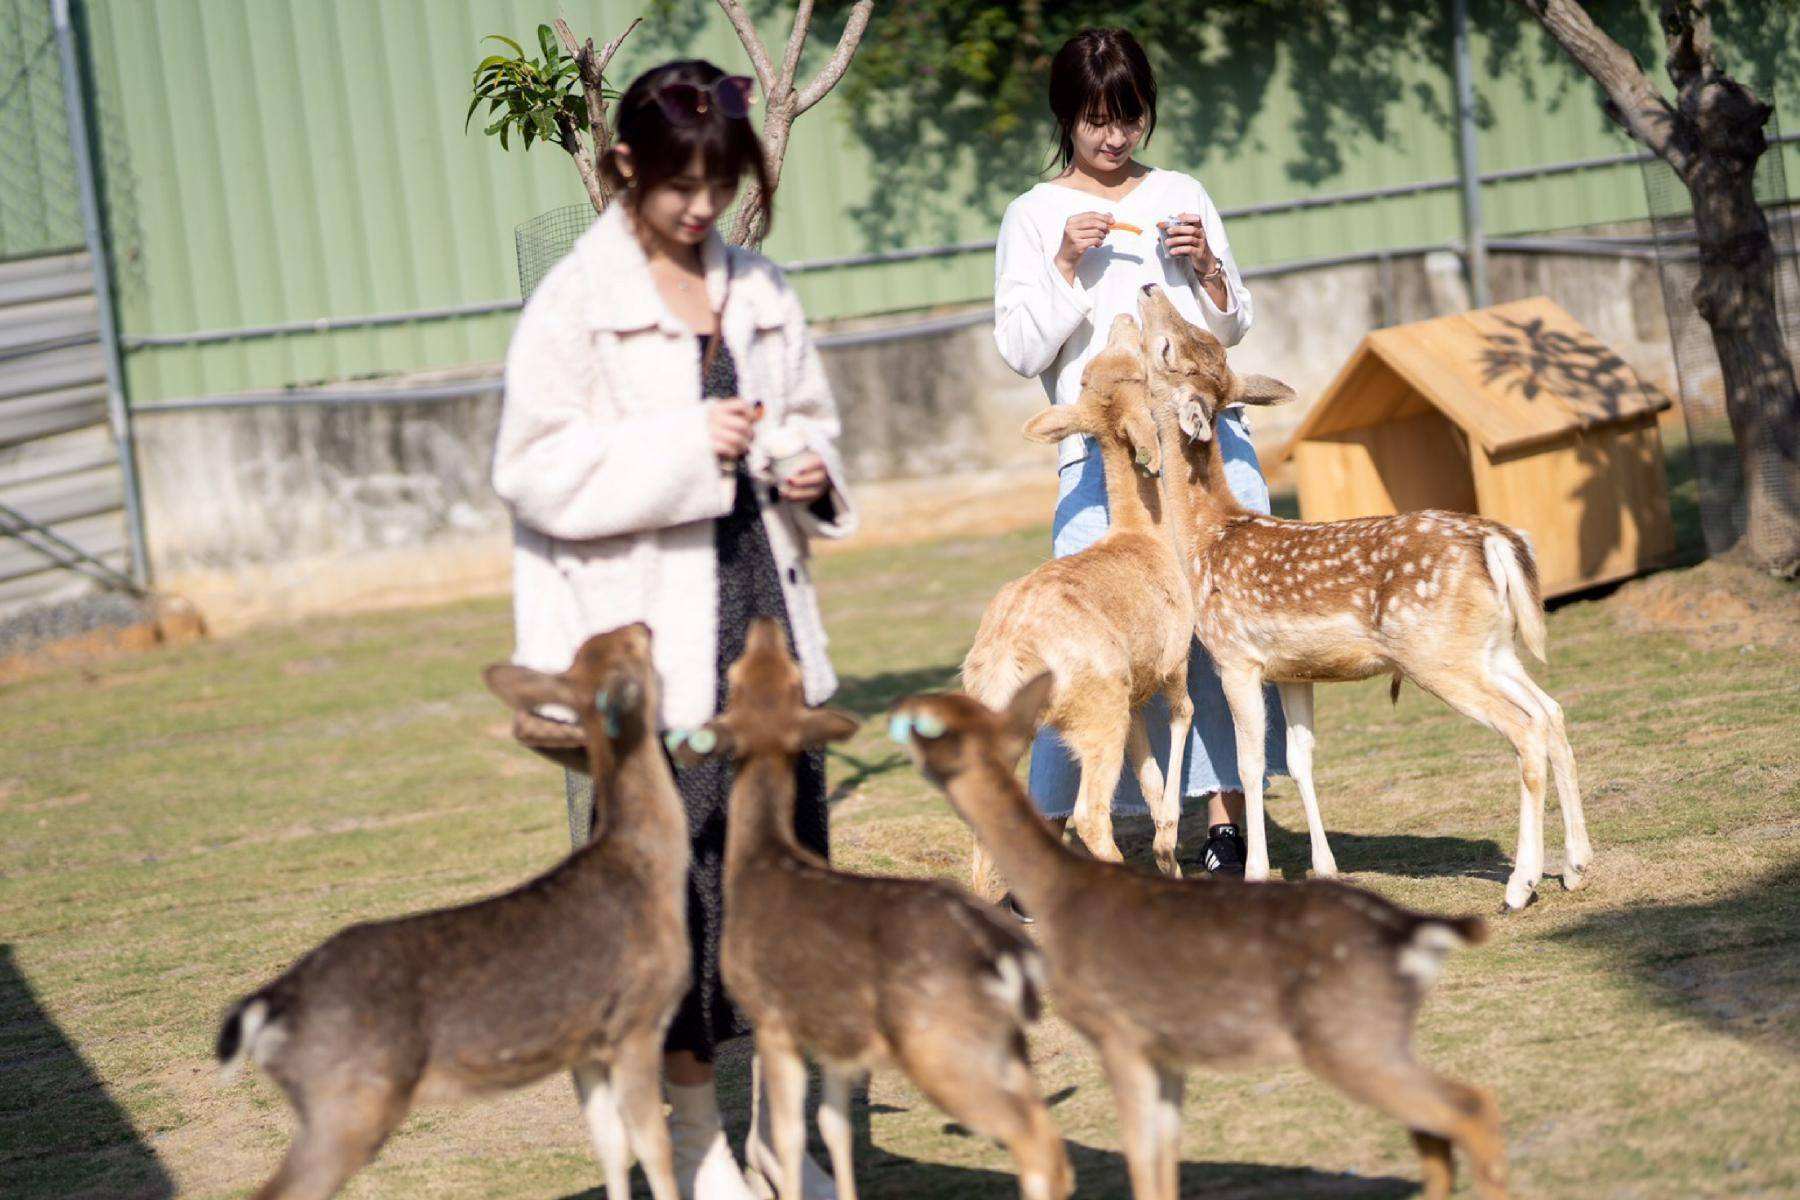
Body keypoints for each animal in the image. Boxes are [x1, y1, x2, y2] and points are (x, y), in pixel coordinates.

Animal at [212, 629, 687, 1200]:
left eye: (599, 645)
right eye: (628, 648)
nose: (644, 626)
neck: (647, 870)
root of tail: (265, 1007)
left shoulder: (584, 1043)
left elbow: (611, 1148)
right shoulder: (635, 1019)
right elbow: (655, 1150)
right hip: (348, 1099)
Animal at [673, 618, 1065, 1200]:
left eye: (736, 675)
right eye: (775, 674)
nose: (765, 626)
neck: (762, 860)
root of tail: (1010, 959)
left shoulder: (771, 1012)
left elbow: (789, 1134)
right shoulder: (838, 1035)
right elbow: (834, 1127)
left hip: (941, 1042)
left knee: (1033, 1135)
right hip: (1002, 1043)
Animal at [896, 676, 1504, 1200]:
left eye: (931, 726)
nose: (900, 716)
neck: (1060, 895)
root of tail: (1416, 933)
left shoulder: (1115, 1028)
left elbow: (1140, 1154)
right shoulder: (1164, 1047)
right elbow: (1165, 1155)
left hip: (1350, 1032)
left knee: (1468, 1106)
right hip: (1378, 1037)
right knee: (1436, 1126)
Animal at [957, 309, 1195, 892]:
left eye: (1100, 368)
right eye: (1138, 367)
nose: (1125, 315)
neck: (1146, 537)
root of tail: (1007, 657)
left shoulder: (1135, 696)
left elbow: (1149, 774)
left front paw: (1168, 858)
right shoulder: (1175, 655)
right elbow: (1183, 718)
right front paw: (1167, 845)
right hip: (1095, 708)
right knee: (1090, 815)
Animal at [1137, 287, 1591, 910]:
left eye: (1166, 347)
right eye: (1190, 339)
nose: (1149, 290)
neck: (1207, 539)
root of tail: (1496, 542)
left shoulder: (1236, 657)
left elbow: (1252, 766)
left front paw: (1256, 873)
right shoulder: (1292, 670)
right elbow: (1300, 759)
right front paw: (1326, 869)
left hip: (1437, 654)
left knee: (1524, 730)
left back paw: (1520, 885)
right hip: (1490, 648)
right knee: (1551, 712)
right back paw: (1575, 866)